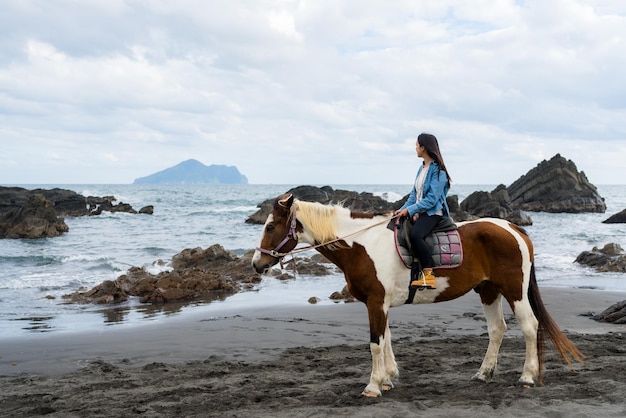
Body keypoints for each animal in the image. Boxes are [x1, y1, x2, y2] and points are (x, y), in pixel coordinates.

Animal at [251, 194, 584, 396]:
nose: (257, 264)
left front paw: (373, 386)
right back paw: (483, 374)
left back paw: (527, 376)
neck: (363, 245)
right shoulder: (380, 303)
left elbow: (375, 343)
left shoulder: (376, 302)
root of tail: (515, 229)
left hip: (514, 291)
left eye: (270, 225)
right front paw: (388, 378)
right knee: (497, 329)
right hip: (489, 290)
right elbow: (385, 340)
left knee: (529, 327)